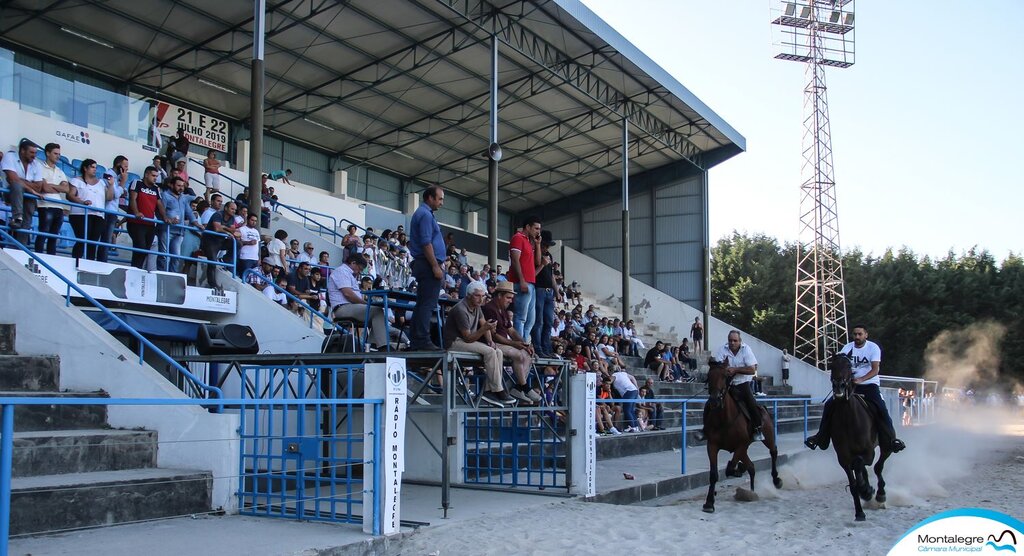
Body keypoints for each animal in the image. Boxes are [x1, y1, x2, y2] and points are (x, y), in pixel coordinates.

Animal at [704, 360, 782, 514]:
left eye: (725, 375)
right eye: (709, 376)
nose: (714, 401)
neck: (724, 419)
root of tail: (762, 408)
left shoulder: (741, 445)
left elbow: (730, 468)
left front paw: (736, 470)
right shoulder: (712, 446)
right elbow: (714, 474)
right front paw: (709, 502)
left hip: (768, 437)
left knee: (773, 451)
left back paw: (776, 480)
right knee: (751, 466)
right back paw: (751, 491)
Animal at [823, 354, 888, 524]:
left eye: (848, 365)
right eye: (832, 366)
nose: (839, 386)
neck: (849, 418)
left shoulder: (869, 452)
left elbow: (860, 464)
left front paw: (865, 490)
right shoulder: (843, 457)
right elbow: (853, 483)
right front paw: (859, 511)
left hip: (885, 445)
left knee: (879, 465)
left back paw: (880, 494)